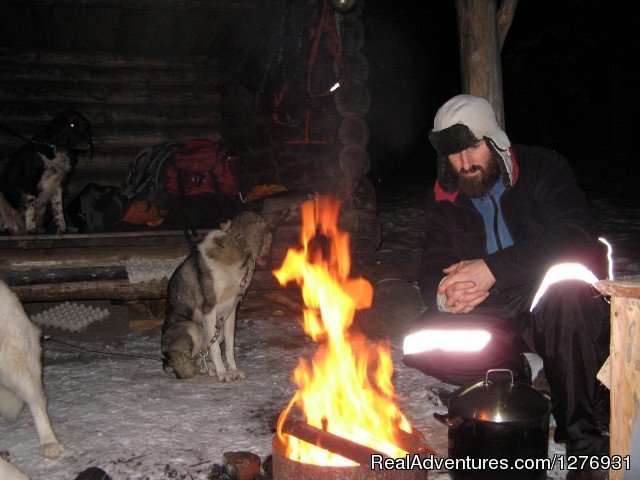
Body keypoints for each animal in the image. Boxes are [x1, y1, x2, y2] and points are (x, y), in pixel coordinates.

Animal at [161, 210, 286, 382]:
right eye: (272, 240)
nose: (270, 263)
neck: (235, 246)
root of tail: (166, 360)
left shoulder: (231, 309)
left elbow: (229, 347)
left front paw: (233, 370)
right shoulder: (209, 309)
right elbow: (215, 350)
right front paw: (223, 373)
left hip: (216, 331)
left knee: (201, 356)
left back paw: (209, 368)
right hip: (191, 327)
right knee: (184, 368)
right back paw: (208, 370)